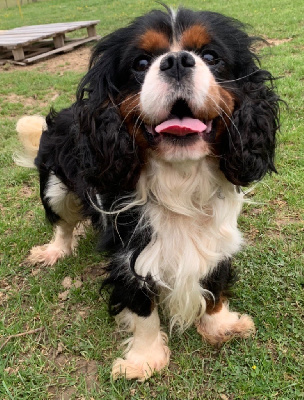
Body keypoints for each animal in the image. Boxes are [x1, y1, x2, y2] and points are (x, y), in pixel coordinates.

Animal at [15, 6, 280, 382]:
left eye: (211, 57)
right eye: (141, 63)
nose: (178, 61)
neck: (179, 175)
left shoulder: (218, 234)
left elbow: (215, 280)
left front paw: (220, 325)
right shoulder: (132, 251)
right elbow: (141, 305)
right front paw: (145, 357)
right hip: (56, 188)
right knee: (63, 224)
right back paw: (54, 250)